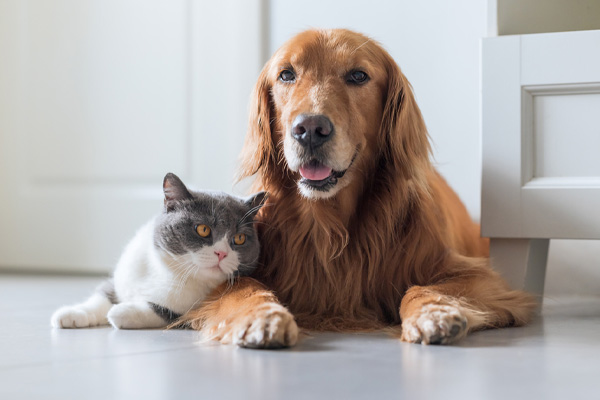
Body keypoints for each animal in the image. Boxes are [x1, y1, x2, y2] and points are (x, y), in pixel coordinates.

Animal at [50, 173, 266, 330]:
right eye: (203, 229)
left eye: (239, 238)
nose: (221, 253)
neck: (167, 272)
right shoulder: (122, 277)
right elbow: (102, 295)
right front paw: (71, 314)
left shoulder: (191, 309)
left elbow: (161, 311)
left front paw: (120, 311)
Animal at [178, 28, 536, 346]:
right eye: (286, 75)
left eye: (358, 76)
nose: (310, 129)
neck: (331, 227)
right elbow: (244, 288)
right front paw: (261, 316)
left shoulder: (480, 276)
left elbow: (421, 287)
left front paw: (433, 313)